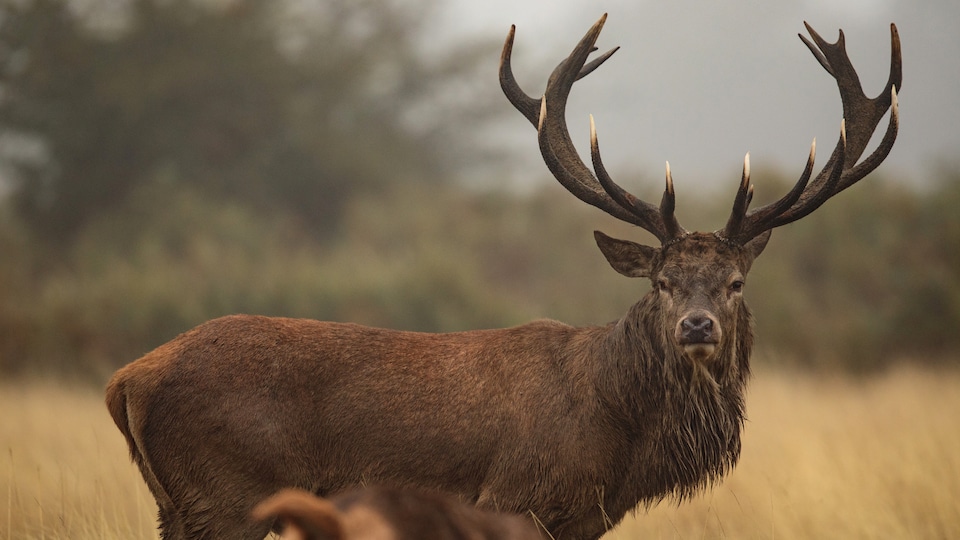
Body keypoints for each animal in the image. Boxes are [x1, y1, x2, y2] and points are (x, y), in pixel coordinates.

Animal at [103, 13, 900, 540]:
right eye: (661, 283)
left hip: (178, 503)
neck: (620, 438)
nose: (697, 326)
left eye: (735, 283)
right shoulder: (517, 498)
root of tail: (126, 380)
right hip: (226, 495)